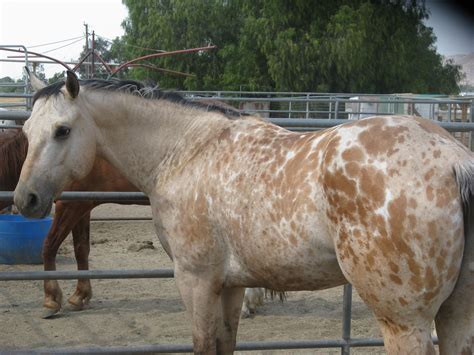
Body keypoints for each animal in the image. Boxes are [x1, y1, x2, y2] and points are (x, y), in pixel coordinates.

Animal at [12, 71, 472, 354]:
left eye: (62, 131)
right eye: (27, 131)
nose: (25, 199)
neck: (187, 152)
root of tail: (452, 159)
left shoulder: (196, 282)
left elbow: (203, 345)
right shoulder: (230, 286)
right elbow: (225, 343)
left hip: (403, 322)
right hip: (455, 316)